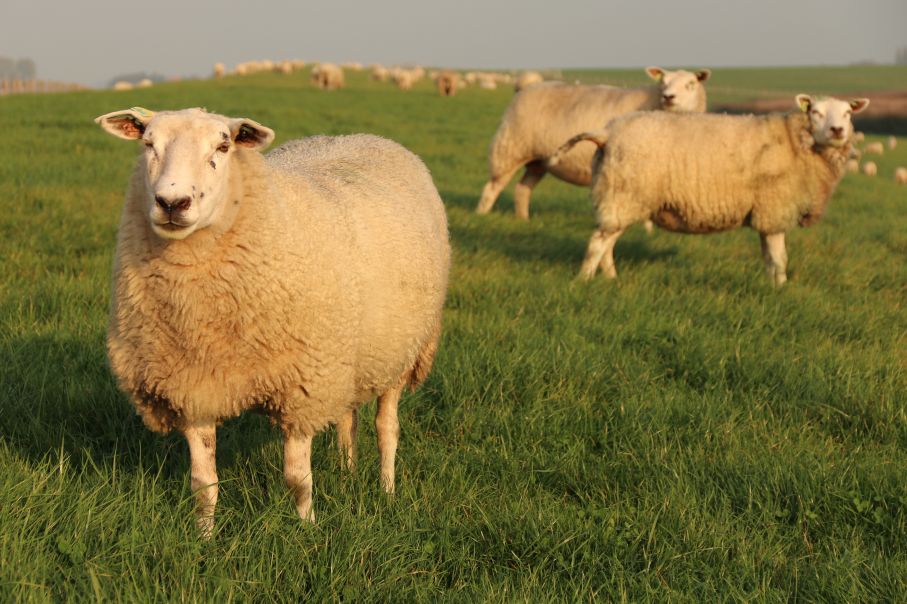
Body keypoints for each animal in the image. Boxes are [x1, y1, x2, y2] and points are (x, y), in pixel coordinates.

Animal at [95, 106, 450, 536]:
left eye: (223, 146)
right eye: (148, 144)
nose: (172, 202)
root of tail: (363, 136)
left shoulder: (303, 386)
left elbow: (297, 479)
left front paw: (307, 530)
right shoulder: (192, 386)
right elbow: (203, 482)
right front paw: (204, 538)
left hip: (400, 350)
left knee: (387, 428)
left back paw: (387, 490)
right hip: (349, 355)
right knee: (347, 419)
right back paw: (347, 471)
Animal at [476, 67, 708, 221]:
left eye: (690, 84)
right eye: (663, 82)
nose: (668, 97)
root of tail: (526, 87)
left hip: (539, 160)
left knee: (522, 189)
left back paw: (524, 220)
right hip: (510, 148)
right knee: (492, 187)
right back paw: (482, 216)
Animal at [556, 95, 868, 288]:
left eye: (848, 112)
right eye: (815, 112)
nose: (838, 130)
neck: (797, 142)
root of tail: (606, 132)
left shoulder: (765, 214)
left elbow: (769, 259)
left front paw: (772, 288)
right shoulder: (774, 209)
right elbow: (780, 259)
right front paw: (782, 289)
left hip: (620, 198)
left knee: (607, 244)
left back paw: (611, 279)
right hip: (624, 194)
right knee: (597, 243)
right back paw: (583, 281)